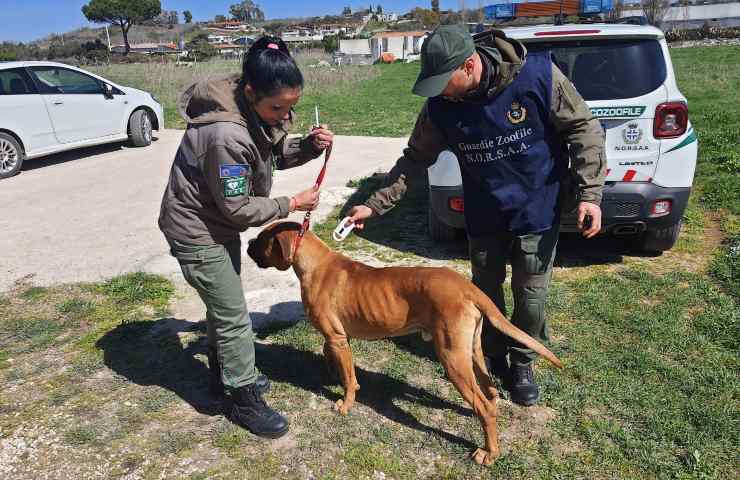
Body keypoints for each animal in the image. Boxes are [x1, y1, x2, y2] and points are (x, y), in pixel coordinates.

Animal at [246, 221, 564, 464]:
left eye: (261, 239)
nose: (247, 243)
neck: (315, 264)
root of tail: (467, 286)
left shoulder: (337, 338)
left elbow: (348, 378)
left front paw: (345, 403)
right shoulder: (338, 338)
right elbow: (334, 360)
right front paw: (333, 375)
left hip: (452, 357)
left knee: (483, 407)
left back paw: (488, 453)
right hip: (471, 350)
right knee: (490, 393)